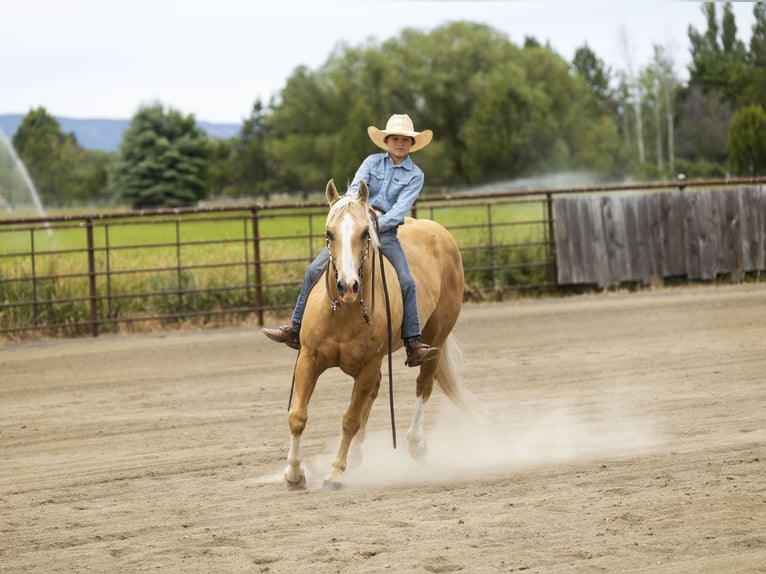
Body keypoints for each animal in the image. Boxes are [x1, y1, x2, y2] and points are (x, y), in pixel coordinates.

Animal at [284, 180, 472, 490]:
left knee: (424, 385)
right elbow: (298, 416)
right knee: (375, 392)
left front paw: (335, 472)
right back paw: (358, 454)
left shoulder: (368, 366)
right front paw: (294, 474)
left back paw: (415, 443)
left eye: (364, 232)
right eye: (328, 232)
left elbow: (350, 420)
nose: (347, 286)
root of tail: (440, 233)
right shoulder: (308, 359)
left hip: (436, 337)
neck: (344, 312)